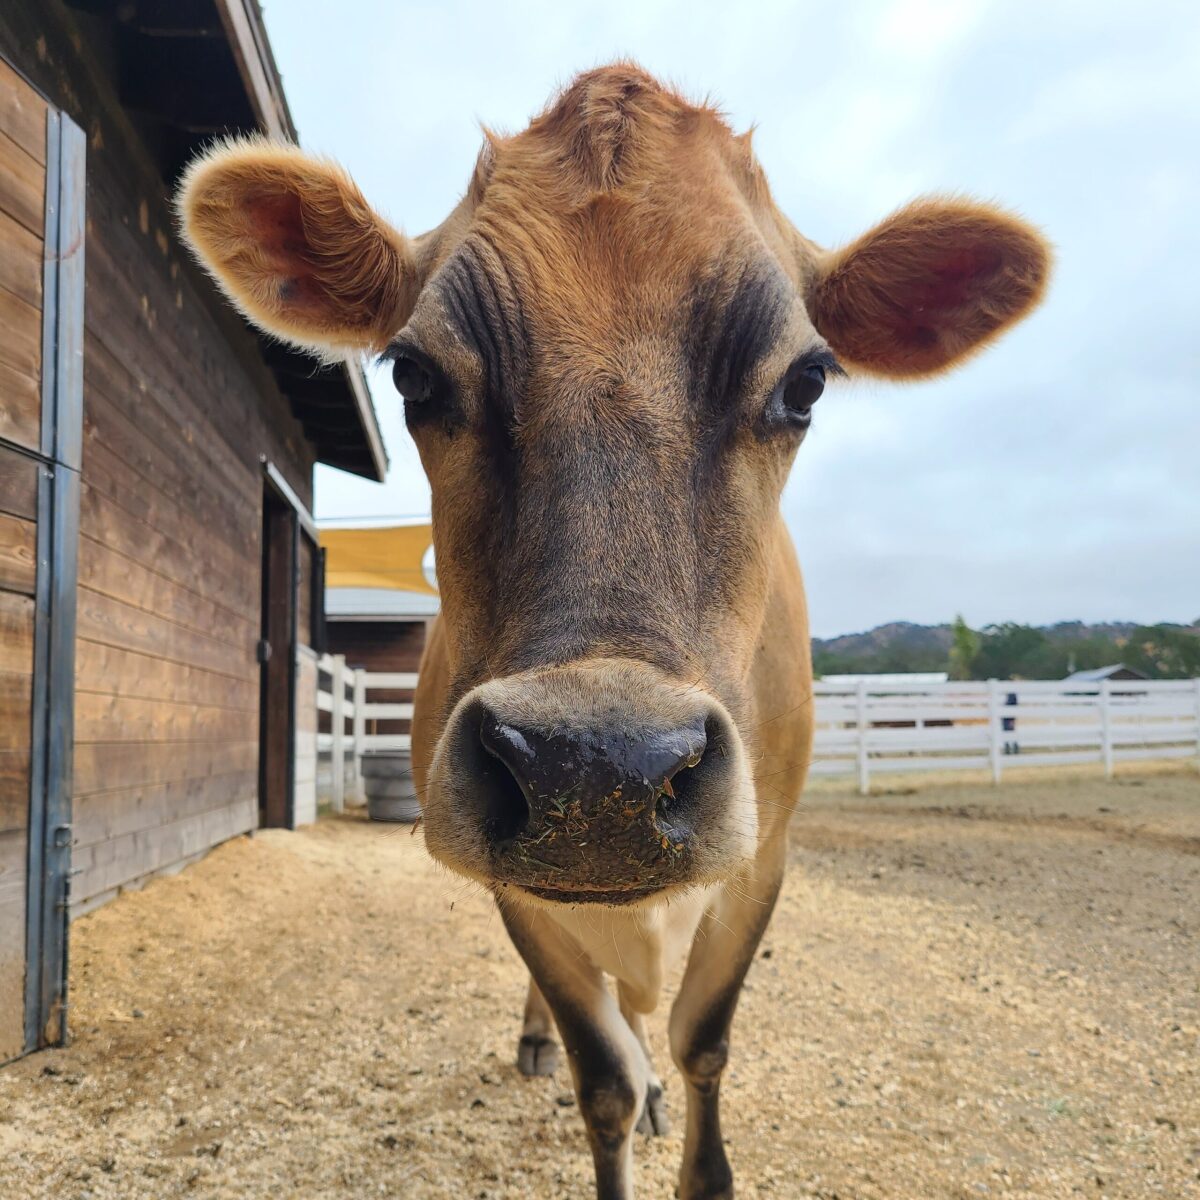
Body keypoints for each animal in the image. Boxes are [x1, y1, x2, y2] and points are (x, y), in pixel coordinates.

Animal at [178, 64, 1049, 1200]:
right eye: (413, 375)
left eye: (806, 382)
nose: (594, 771)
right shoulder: (516, 883)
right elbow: (604, 1076)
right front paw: (598, 1081)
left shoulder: (761, 856)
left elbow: (701, 1038)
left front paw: (696, 1145)